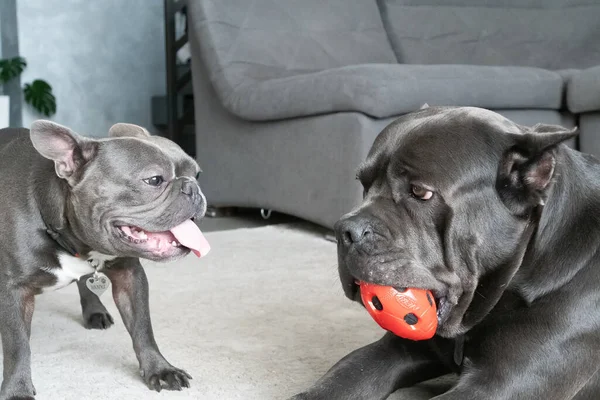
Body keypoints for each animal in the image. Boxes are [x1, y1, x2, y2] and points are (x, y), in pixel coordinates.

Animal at [0, 122, 211, 400]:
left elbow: (143, 327)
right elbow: (18, 345)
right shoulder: (15, 291)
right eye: (154, 180)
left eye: (197, 175)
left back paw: (94, 310)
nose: (192, 188)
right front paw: (17, 390)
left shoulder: (130, 276)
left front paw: (160, 369)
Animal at [290, 107, 600, 400]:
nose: (346, 230)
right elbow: (347, 373)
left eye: (420, 192)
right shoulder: (398, 347)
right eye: (364, 184)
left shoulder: (498, 384)